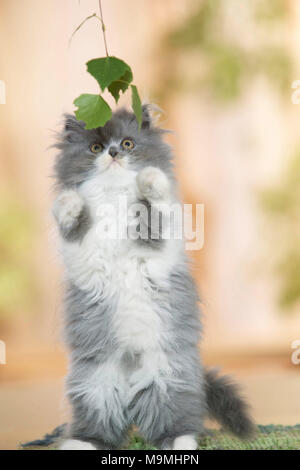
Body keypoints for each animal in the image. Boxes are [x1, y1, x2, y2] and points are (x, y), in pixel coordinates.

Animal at [51, 106, 253, 452]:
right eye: (95, 147)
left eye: (128, 143)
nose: (113, 153)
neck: (116, 199)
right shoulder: (83, 256)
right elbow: (73, 223)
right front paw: (69, 203)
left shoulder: (161, 240)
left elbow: (157, 206)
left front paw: (149, 180)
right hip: (94, 384)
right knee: (103, 428)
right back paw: (80, 443)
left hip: (167, 376)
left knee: (173, 420)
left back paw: (180, 442)